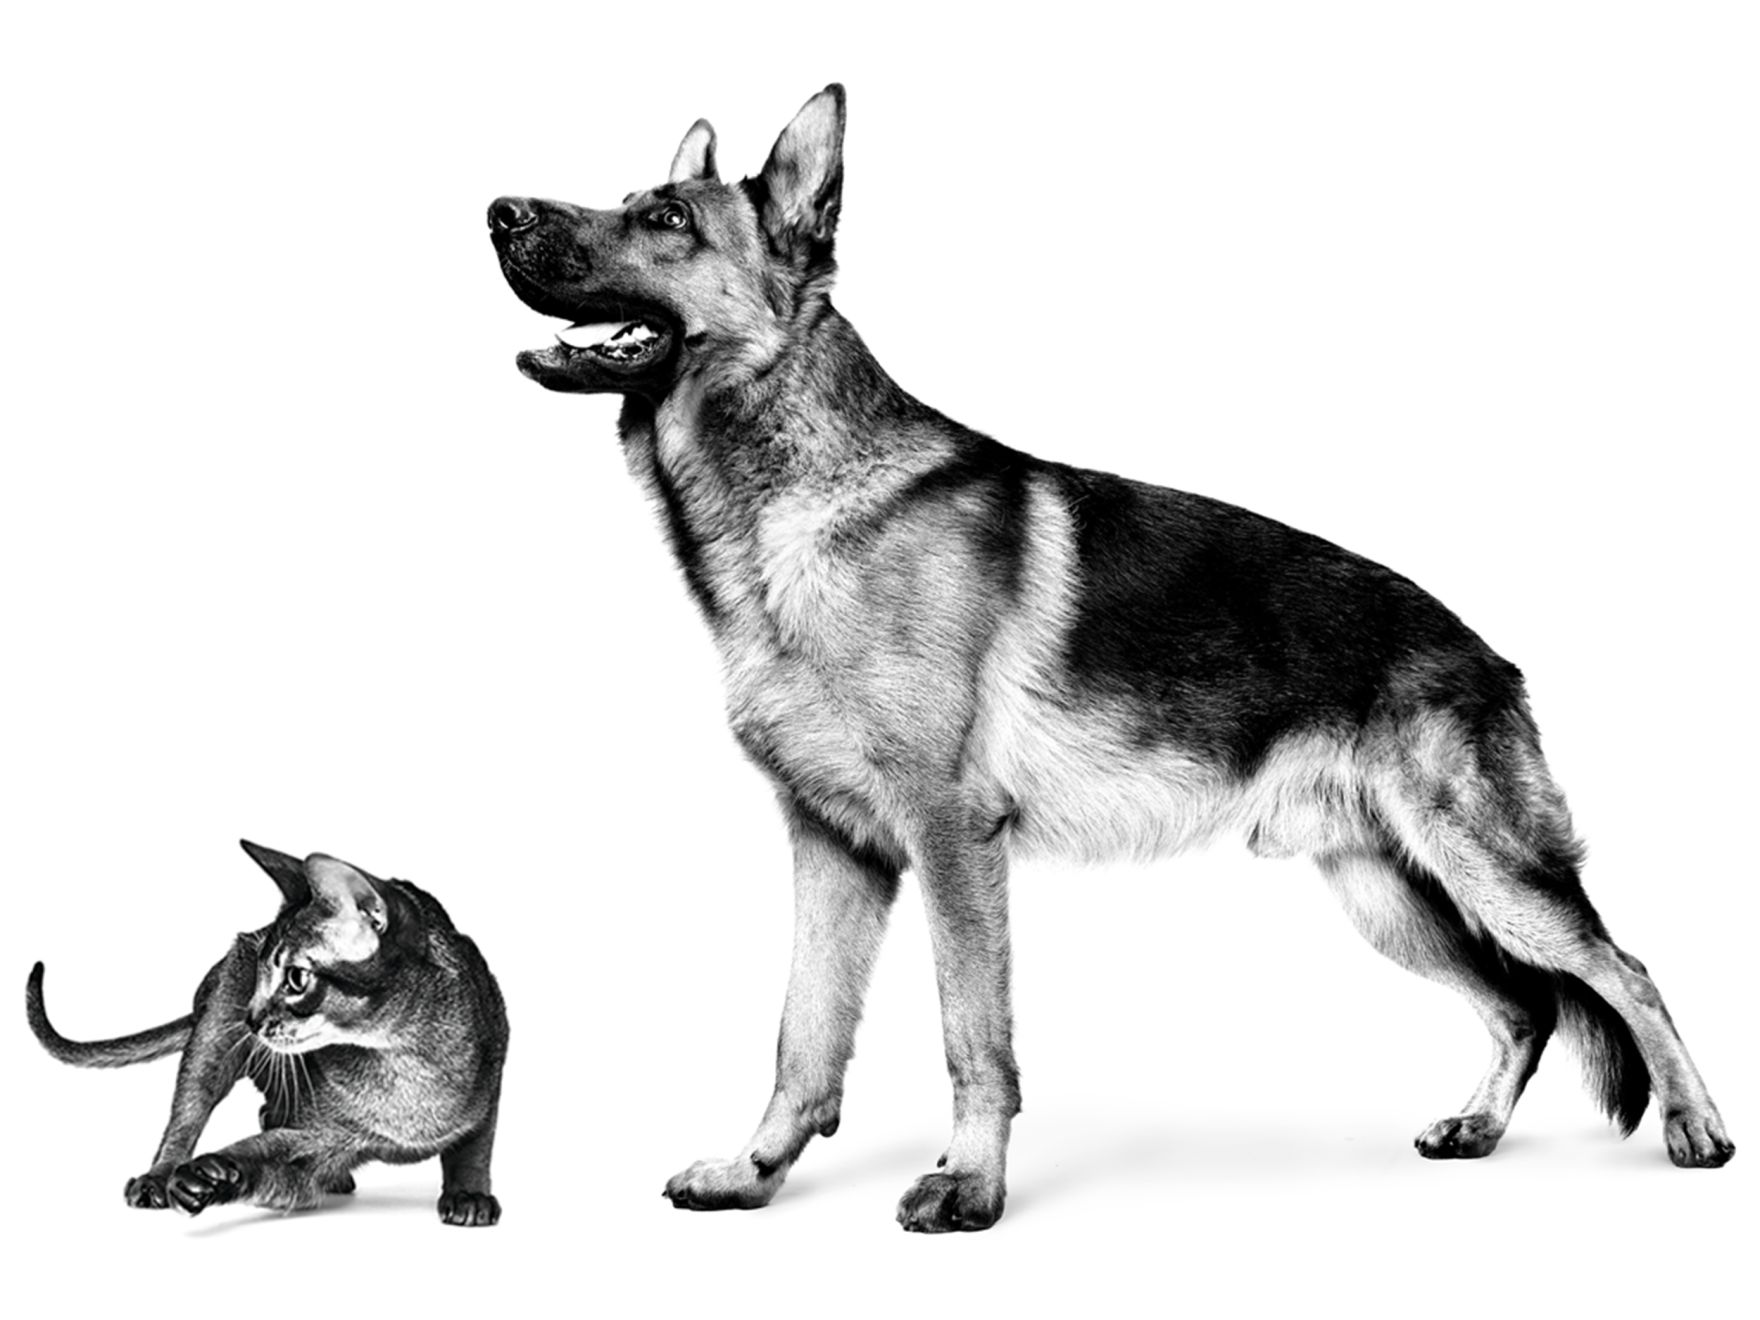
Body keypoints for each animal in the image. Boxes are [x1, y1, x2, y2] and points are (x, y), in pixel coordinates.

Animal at [27, 848, 510, 1232]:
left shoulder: (490, 1089)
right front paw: (210, 1175)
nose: (251, 1017)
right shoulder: (314, 1140)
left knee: (266, 1109)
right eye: (262, 974)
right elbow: (260, 1155)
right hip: (212, 1045)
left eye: (296, 979)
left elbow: (474, 1149)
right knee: (187, 1113)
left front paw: (469, 1196)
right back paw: (158, 1177)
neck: (403, 1064)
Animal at [492, 88, 1731, 1239]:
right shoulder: (832, 847)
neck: (795, 503)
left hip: (1487, 872)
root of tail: (1487, 653)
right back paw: (1475, 1126)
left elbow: (971, 1034)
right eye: (630, 201)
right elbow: (803, 1034)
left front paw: (969, 1187)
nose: (499, 210)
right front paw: (754, 1173)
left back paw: (1695, 1127)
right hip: (1390, 895)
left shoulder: (950, 837)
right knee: (1524, 1008)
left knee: (1620, 972)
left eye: (663, 218)